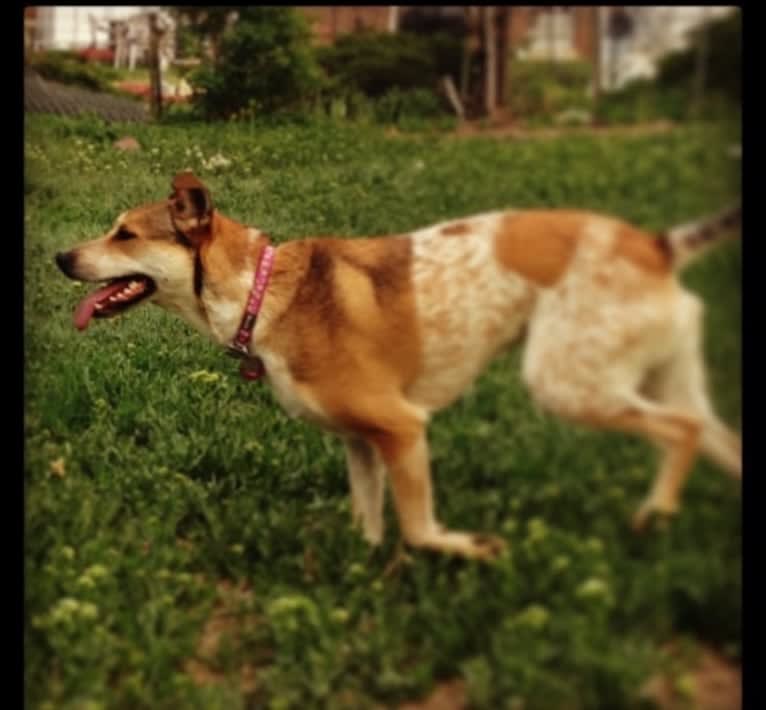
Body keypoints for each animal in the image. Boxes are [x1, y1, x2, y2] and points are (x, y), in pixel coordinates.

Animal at [55, 172, 744, 560]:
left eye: (125, 234)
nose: (60, 258)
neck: (260, 289)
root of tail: (655, 244)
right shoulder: (362, 443)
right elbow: (369, 524)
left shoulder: (403, 430)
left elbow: (418, 531)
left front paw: (472, 548)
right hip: (651, 379)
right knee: (711, 434)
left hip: (568, 385)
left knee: (681, 432)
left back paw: (654, 517)